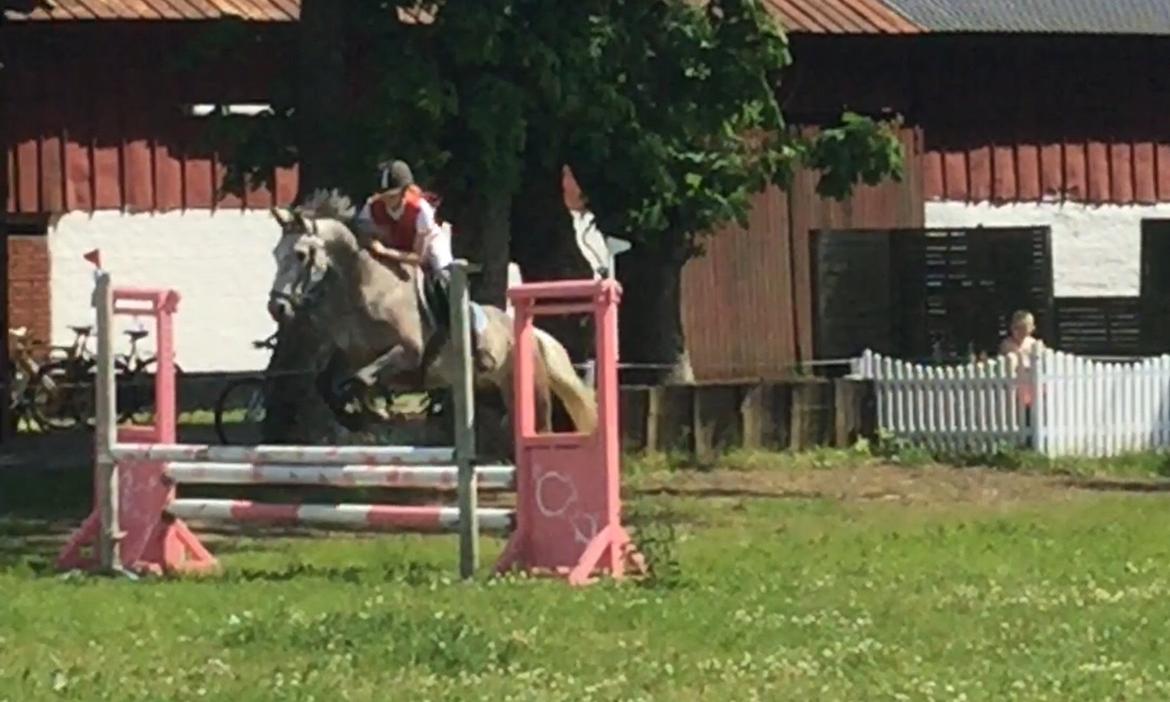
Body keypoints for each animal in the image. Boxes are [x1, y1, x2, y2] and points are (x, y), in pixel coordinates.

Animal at [265, 189, 594, 435]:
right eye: (275, 254)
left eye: (300, 255)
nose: (276, 307)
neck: (363, 286)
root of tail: (536, 335)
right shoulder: (349, 353)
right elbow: (328, 383)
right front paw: (358, 417)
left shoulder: (410, 352)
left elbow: (361, 380)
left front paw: (375, 412)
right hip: (491, 390)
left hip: (530, 389)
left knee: (542, 427)